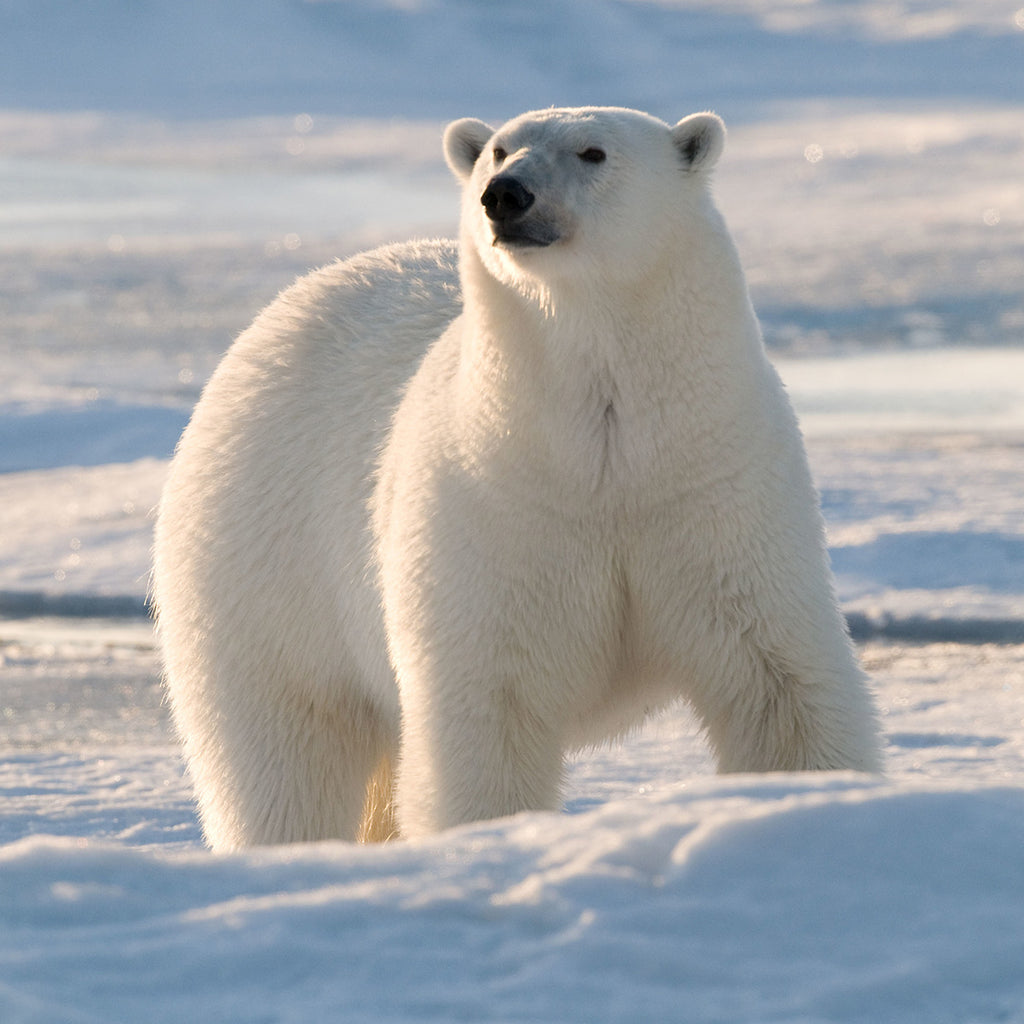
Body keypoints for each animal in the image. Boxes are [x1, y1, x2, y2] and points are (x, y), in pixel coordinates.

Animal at [153, 106, 881, 850]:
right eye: (499, 149)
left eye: (594, 152)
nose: (505, 195)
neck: (604, 456)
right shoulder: (492, 511)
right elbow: (487, 712)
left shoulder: (716, 487)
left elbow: (777, 679)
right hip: (266, 567)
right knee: (285, 755)